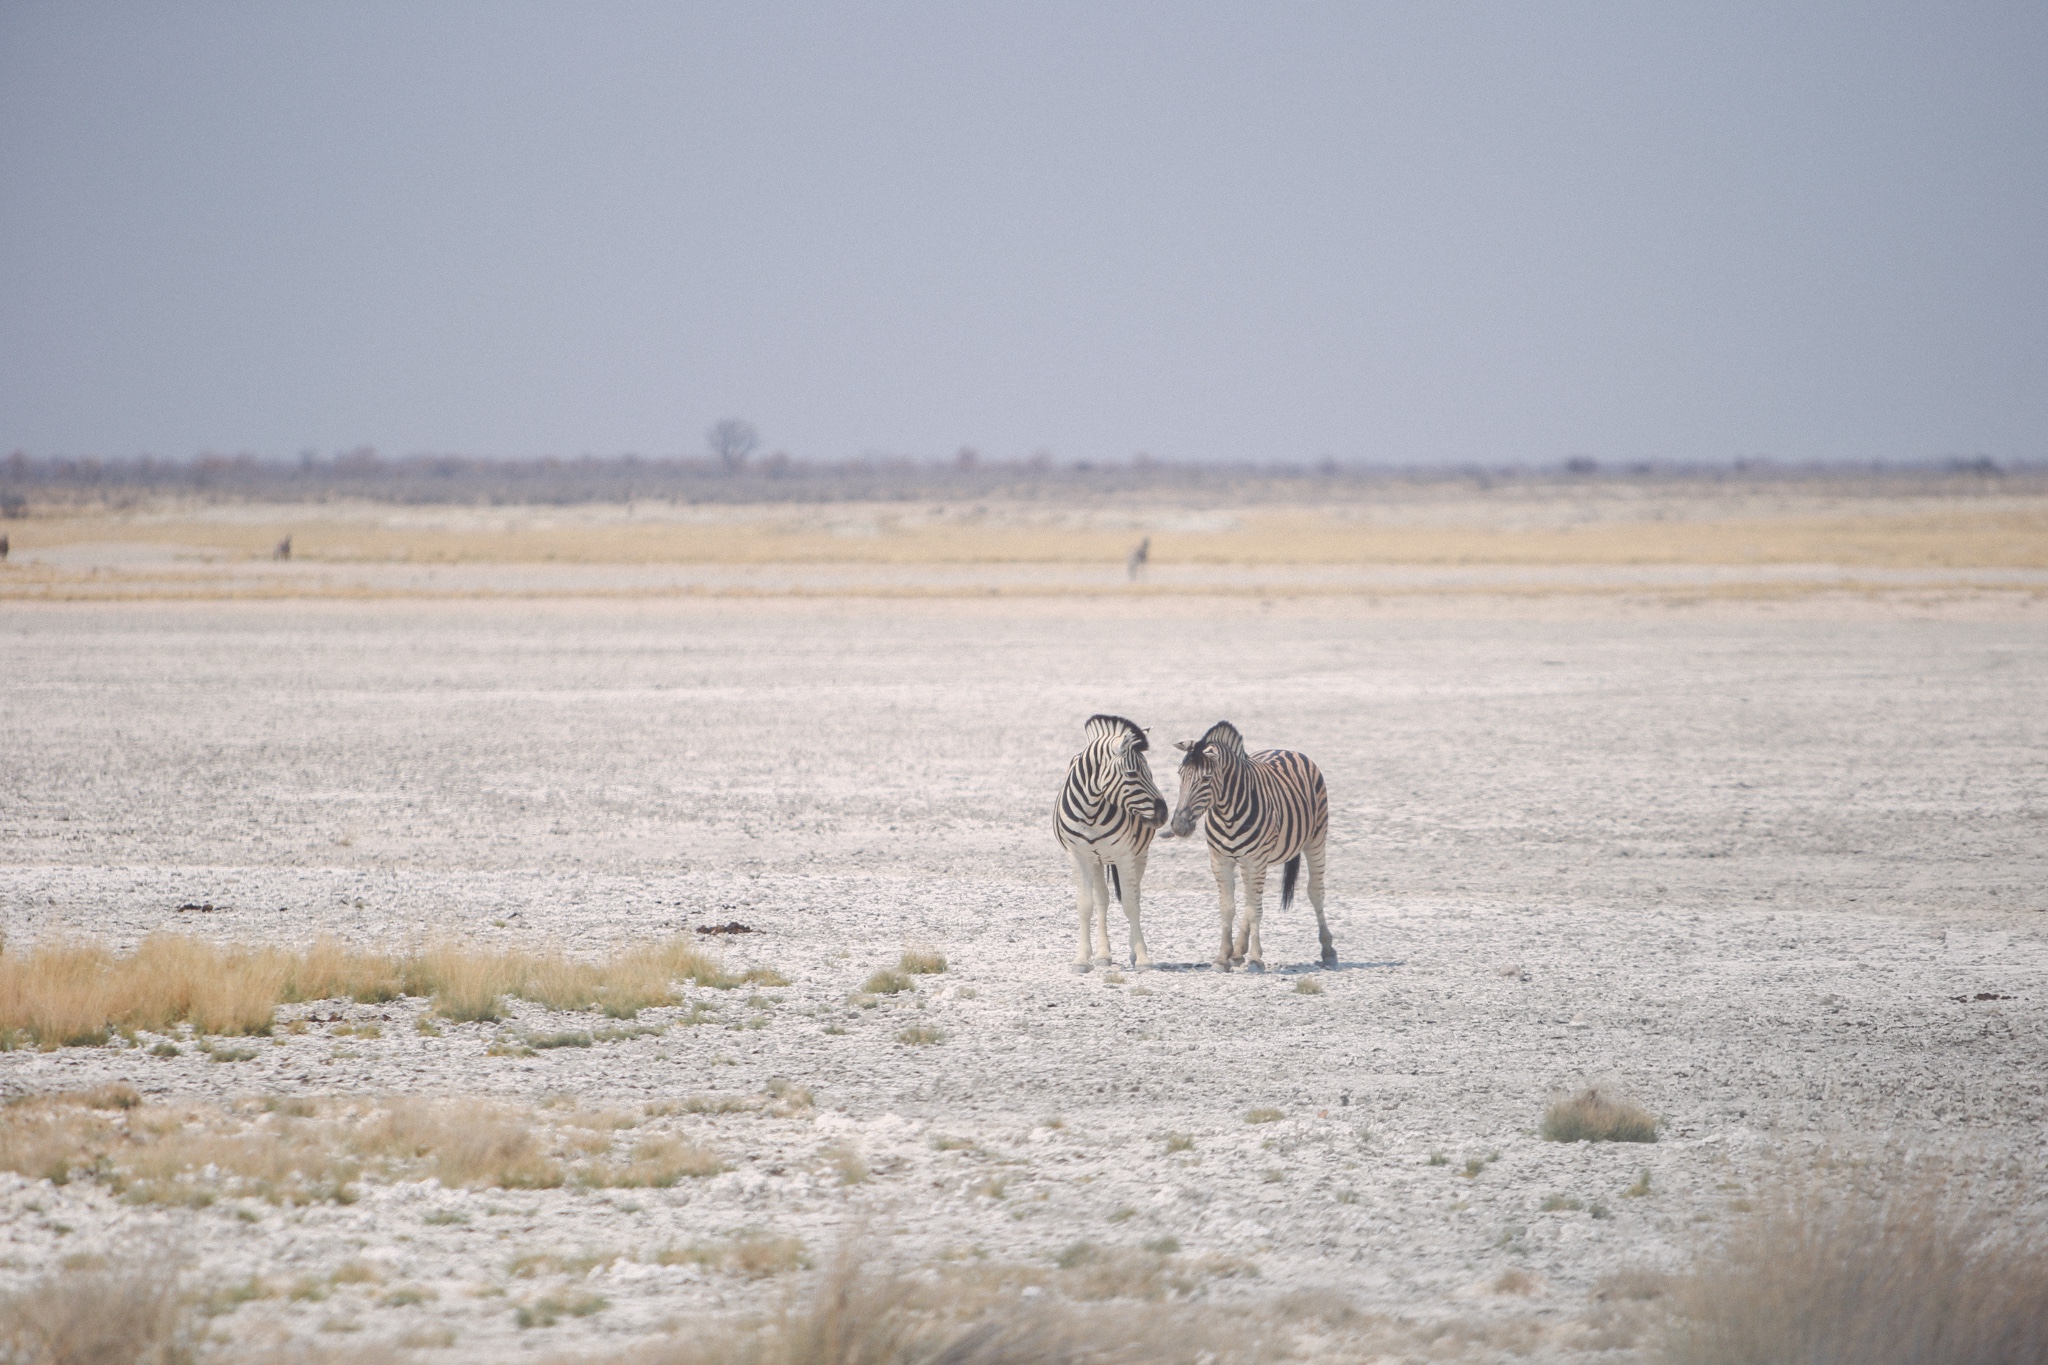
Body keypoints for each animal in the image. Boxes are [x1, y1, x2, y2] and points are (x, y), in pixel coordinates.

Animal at [1056, 716, 1171, 970]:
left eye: (1151, 773)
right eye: (1131, 774)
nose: (1163, 814)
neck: (1090, 810)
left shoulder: (1124, 855)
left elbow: (1130, 903)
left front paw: (1143, 957)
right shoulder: (1077, 855)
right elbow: (1085, 904)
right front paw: (1082, 958)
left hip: (1139, 855)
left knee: (1135, 896)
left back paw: (1132, 952)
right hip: (1097, 860)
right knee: (1102, 899)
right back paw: (1103, 955)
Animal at [1163, 716, 1335, 970]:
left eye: (1206, 779)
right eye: (1180, 774)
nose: (1179, 826)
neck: (1227, 813)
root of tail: (1286, 749)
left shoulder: (1255, 860)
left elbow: (1255, 910)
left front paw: (1255, 959)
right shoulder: (1221, 861)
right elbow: (1229, 908)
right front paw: (1223, 957)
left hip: (1315, 840)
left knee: (1315, 891)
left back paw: (1328, 951)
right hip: (1248, 861)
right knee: (1248, 898)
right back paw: (1237, 952)